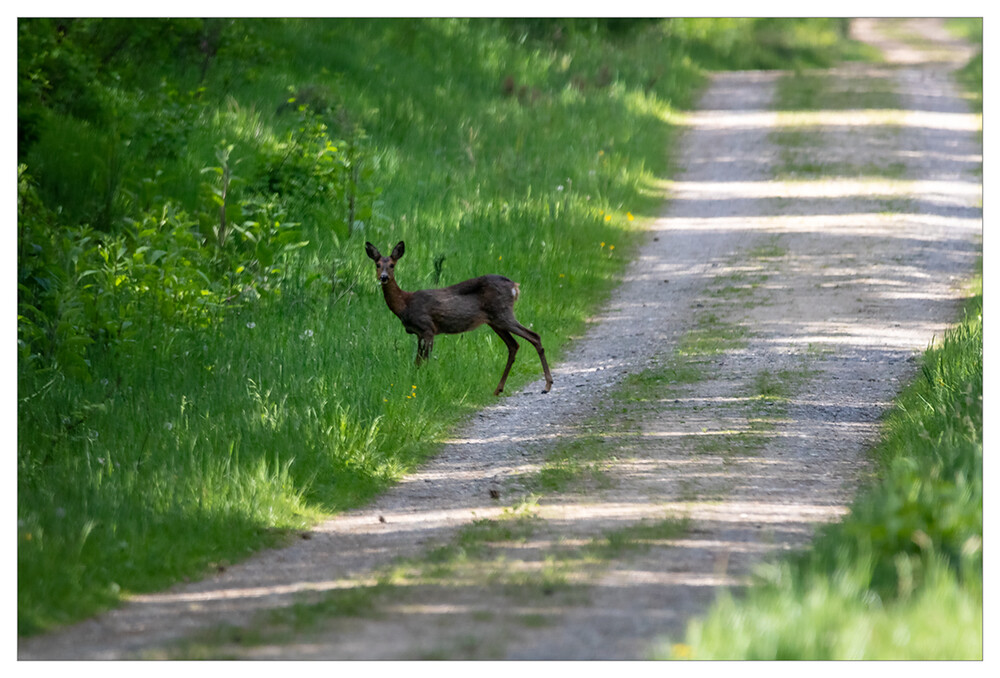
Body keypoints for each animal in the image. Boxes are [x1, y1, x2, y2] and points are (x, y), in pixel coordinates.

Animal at [366, 242, 556, 396]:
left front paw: (422, 384)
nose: (383, 277)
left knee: (534, 336)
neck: (405, 304)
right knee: (514, 345)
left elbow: (423, 361)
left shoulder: (427, 328)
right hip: (495, 320)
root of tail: (514, 287)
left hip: (503, 314)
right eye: (377, 264)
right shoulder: (419, 334)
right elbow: (417, 362)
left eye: (392, 265)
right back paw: (498, 389)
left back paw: (547, 385)